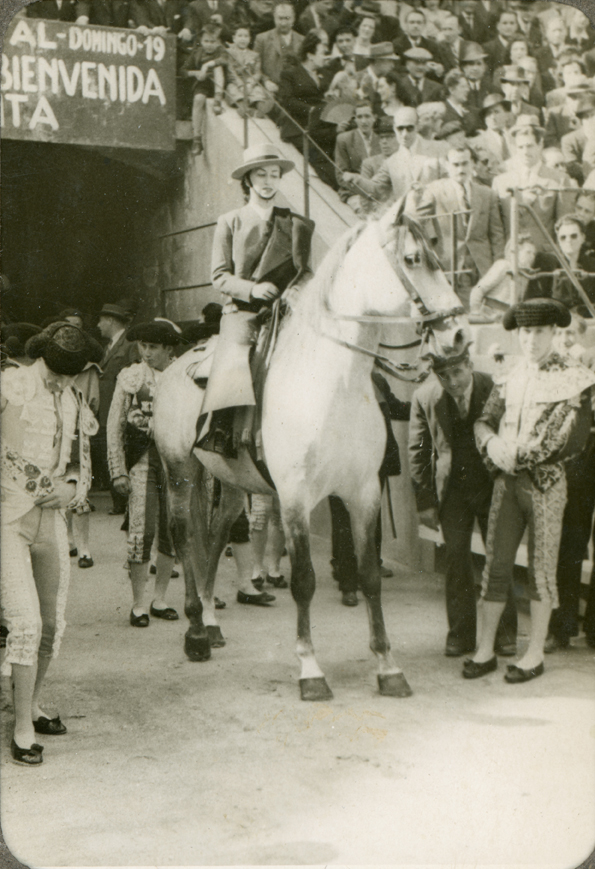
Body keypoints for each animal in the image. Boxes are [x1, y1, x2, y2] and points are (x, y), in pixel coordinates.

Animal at [152, 203, 466, 700]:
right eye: (414, 259)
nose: (457, 336)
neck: (331, 383)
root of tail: (175, 367)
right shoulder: (297, 498)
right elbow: (303, 580)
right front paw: (310, 669)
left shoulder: (362, 494)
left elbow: (369, 575)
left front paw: (388, 666)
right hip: (181, 471)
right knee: (185, 536)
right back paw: (196, 632)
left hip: (233, 484)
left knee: (216, 536)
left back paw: (212, 622)